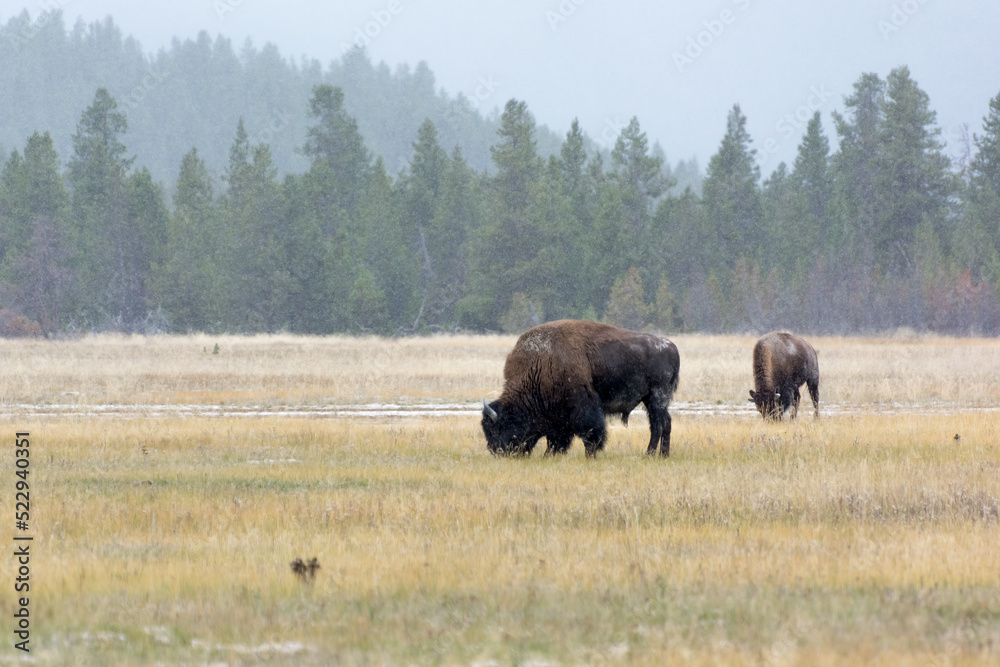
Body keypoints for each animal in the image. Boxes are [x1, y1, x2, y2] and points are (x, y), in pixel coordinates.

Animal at [478, 320, 680, 456]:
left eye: (500, 427)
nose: (497, 451)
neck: (540, 365)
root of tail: (671, 346)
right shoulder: (557, 418)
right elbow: (557, 439)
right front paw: (551, 454)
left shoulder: (583, 407)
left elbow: (591, 432)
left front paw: (591, 453)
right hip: (651, 399)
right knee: (666, 422)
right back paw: (663, 454)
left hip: (657, 397)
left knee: (658, 425)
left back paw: (650, 454)